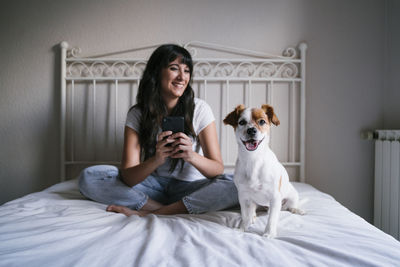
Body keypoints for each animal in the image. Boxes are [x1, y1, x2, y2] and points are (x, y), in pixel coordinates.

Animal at [223, 104, 304, 239]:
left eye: (262, 121)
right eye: (242, 122)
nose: (251, 130)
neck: (253, 160)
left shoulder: (275, 197)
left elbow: (271, 219)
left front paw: (268, 233)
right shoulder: (244, 197)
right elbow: (245, 215)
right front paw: (242, 228)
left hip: (292, 196)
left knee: (289, 207)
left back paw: (297, 209)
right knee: (253, 211)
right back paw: (253, 216)